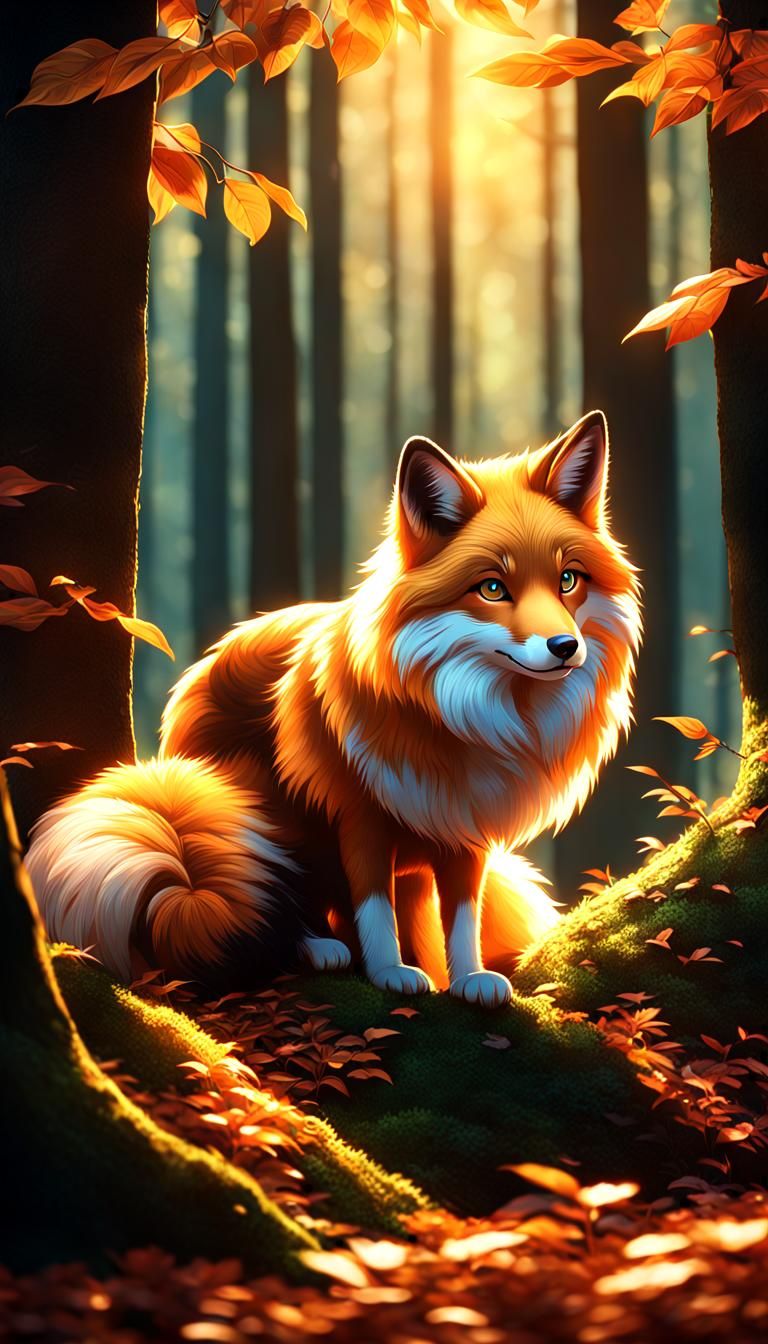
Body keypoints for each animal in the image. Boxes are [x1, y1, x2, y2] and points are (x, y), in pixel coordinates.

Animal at [27, 410, 641, 1008]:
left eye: (568, 580)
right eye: (492, 588)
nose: (565, 647)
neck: (462, 722)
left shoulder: (463, 833)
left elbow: (463, 917)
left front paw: (467, 979)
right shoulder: (359, 819)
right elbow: (373, 908)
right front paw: (390, 973)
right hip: (259, 810)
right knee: (279, 887)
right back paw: (318, 947)